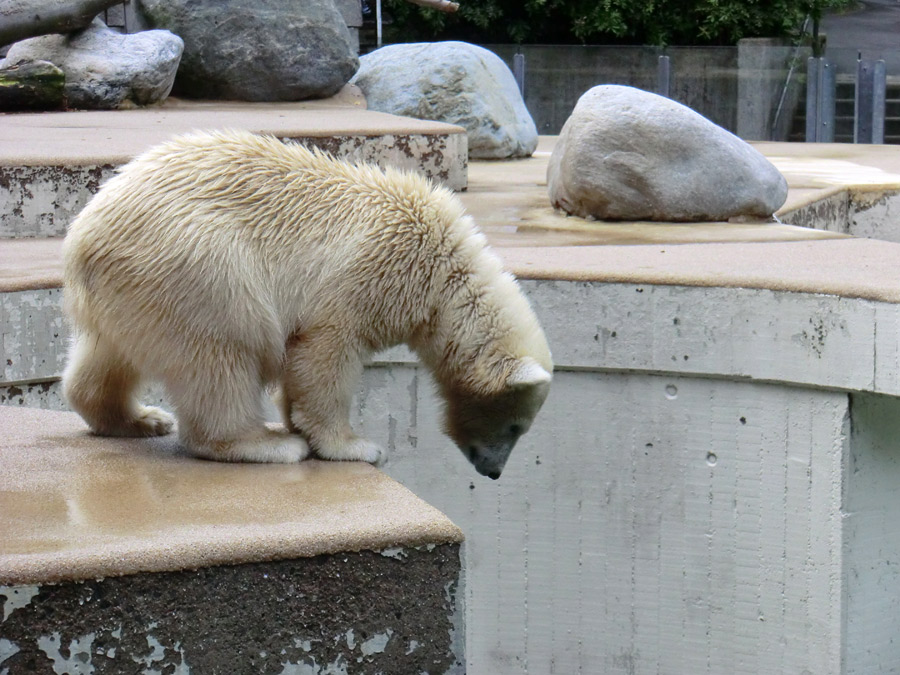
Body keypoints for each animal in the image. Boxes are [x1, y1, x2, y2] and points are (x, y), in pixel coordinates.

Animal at [63, 131, 552, 480]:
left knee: (106, 354)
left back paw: (139, 419)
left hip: (129, 291)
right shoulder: (370, 274)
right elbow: (325, 357)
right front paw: (354, 446)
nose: (493, 472)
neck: (444, 268)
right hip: (197, 262)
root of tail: (82, 235)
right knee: (220, 352)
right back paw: (262, 443)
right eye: (516, 426)